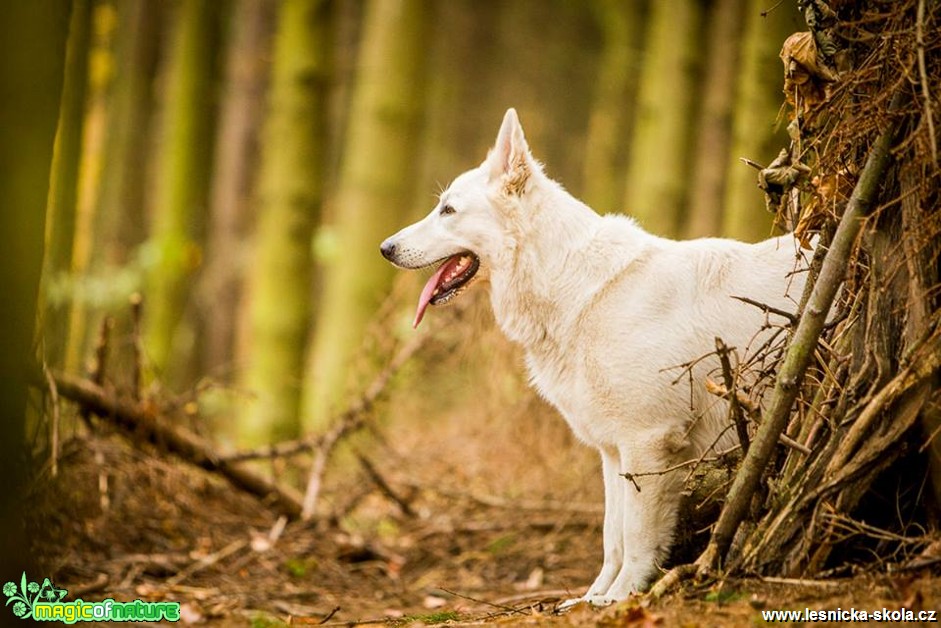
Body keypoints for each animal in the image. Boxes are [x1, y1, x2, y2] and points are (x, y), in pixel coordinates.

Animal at [382, 109, 808, 608]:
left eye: (448, 210)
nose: (385, 248)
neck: (570, 283)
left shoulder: (648, 441)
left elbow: (637, 537)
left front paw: (621, 599)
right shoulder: (613, 450)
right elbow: (613, 537)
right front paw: (591, 598)